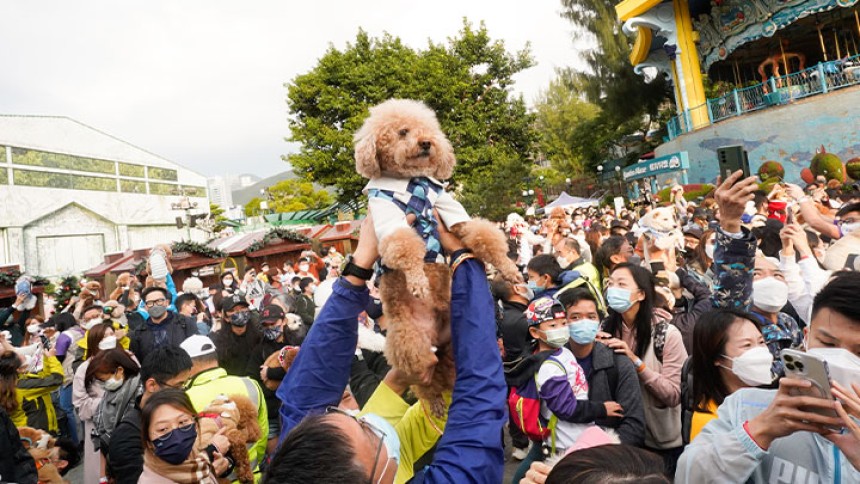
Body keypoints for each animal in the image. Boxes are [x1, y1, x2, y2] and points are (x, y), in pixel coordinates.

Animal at [352, 98, 520, 412]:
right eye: (403, 131)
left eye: (427, 129)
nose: (427, 143)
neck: (412, 182)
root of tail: (434, 336)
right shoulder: (388, 220)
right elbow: (405, 248)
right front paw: (417, 280)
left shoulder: (447, 206)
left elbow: (482, 235)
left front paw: (509, 269)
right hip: (412, 346)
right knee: (422, 379)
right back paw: (436, 400)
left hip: (454, 340)